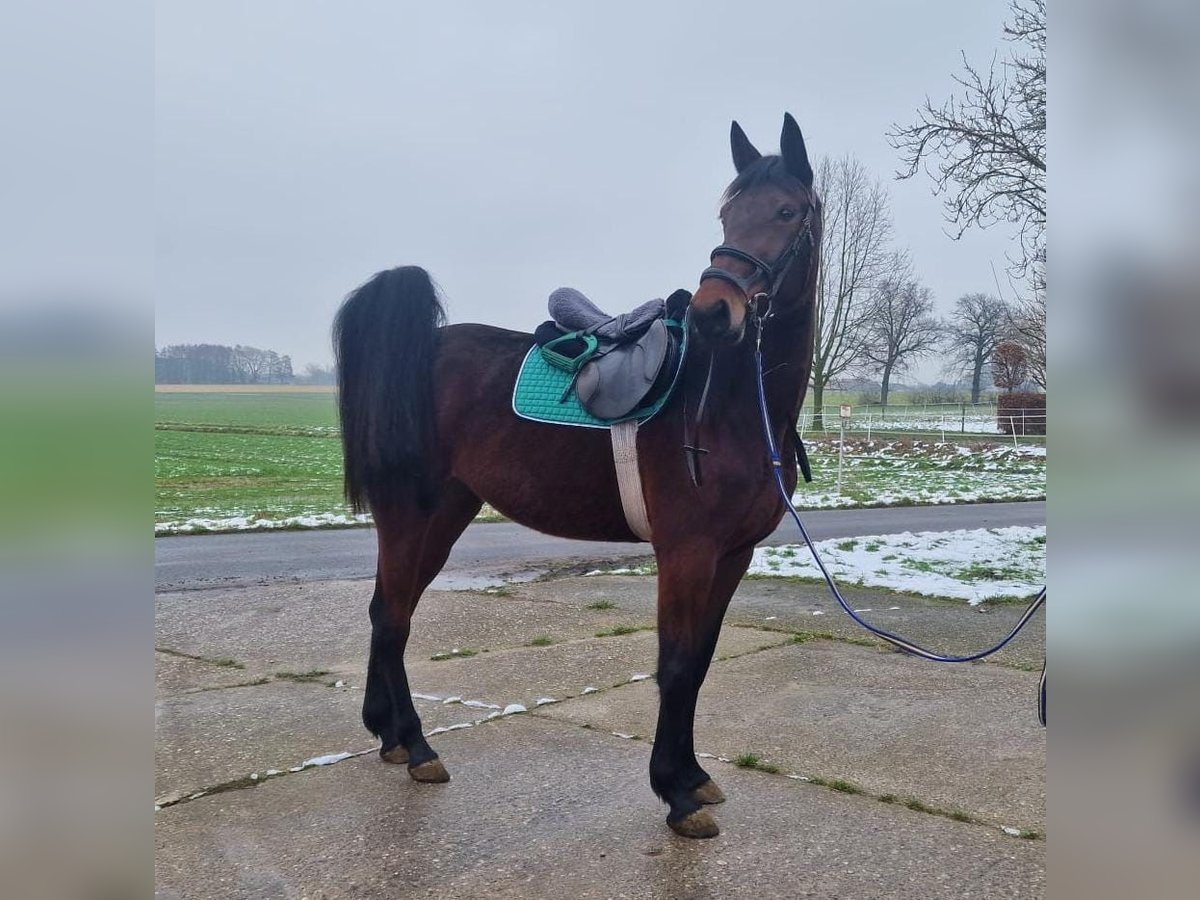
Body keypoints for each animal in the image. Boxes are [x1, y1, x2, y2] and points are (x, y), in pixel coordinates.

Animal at [338, 114, 825, 844]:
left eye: (787, 211)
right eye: (727, 212)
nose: (714, 311)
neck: (730, 405)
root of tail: (421, 348)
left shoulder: (733, 554)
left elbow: (701, 662)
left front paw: (692, 778)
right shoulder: (686, 552)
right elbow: (676, 664)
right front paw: (674, 793)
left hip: (444, 514)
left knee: (387, 610)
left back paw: (393, 735)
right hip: (410, 512)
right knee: (392, 616)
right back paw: (419, 746)